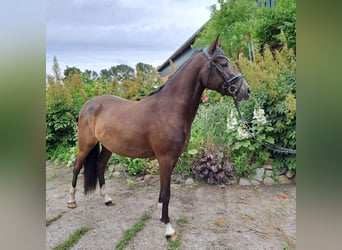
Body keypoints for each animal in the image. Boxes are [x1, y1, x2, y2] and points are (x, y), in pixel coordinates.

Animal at [67, 36, 251, 239]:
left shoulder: (173, 160)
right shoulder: (164, 159)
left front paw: (160, 214)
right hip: (86, 144)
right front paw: (168, 228)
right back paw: (71, 201)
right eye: (224, 63)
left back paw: (107, 199)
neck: (169, 109)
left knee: (99, 166)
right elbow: (166, 192)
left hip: (108, 146)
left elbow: (164, 192)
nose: (246, 90)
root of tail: (89, 104)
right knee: (76, 168)